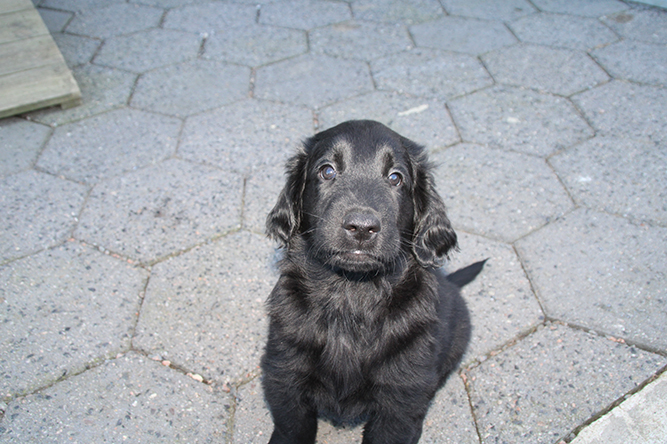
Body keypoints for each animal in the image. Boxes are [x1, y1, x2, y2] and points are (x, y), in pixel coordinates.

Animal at [261, 120, 485, 444]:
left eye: (395, 178)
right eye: (327, 171)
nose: (362, 227)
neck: (352, 293)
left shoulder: (401, 395)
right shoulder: (284, 373)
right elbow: (292, 428)